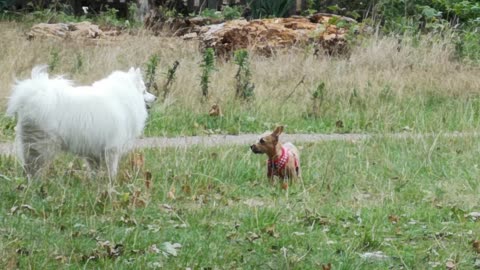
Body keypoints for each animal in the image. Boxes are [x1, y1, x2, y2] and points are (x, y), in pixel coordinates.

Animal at [6, 65, 157, 181]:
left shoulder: (93, 151)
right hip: (43, 145)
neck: (124, 97)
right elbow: (111, 170)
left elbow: (94, 170)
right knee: (35, 168)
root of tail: (35, 96)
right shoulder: (112, 149)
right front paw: (112, 183)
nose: (155, 97)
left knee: (28, 167)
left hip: (29, 145)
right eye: (144, 91)